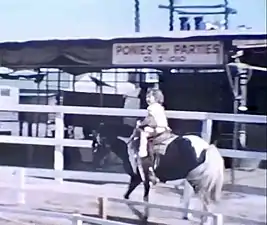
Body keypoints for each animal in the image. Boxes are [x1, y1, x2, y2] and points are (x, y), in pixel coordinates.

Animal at [91, 125, 225, 224]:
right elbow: (128, 197)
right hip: (193, 180)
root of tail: (206, 147)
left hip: (197, 182)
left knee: (206, 203)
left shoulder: (139, 178)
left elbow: (138, 198)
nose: (95, 163)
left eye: (97, 145)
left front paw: (143, 216)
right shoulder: (140, 179)